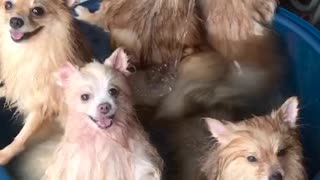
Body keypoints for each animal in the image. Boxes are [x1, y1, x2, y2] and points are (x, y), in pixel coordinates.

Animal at [0, 0, 92, 165]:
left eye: (37, 11)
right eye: (8, 5)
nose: (15, 21)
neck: (28, 52)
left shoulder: (43, 106)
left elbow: (23, 135)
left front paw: (5, 154)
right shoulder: (18, 87)